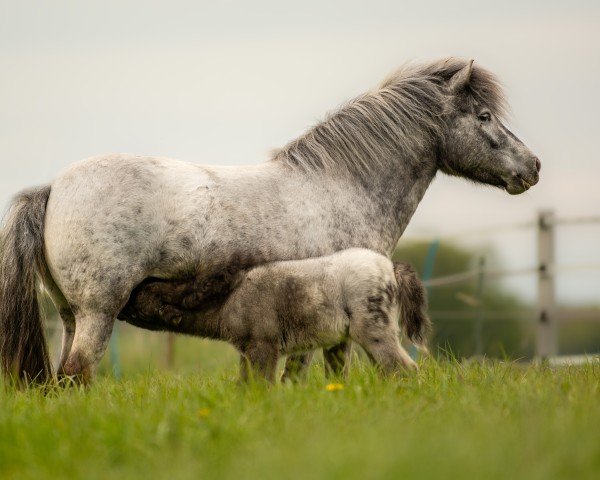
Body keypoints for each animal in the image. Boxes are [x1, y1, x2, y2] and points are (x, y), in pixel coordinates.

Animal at [0, 58, 540, 384]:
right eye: (484, 116)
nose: (532, 167)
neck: (339, 186)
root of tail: (53, 188)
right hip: (99, 312)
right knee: (77, 373)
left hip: (71, 316)